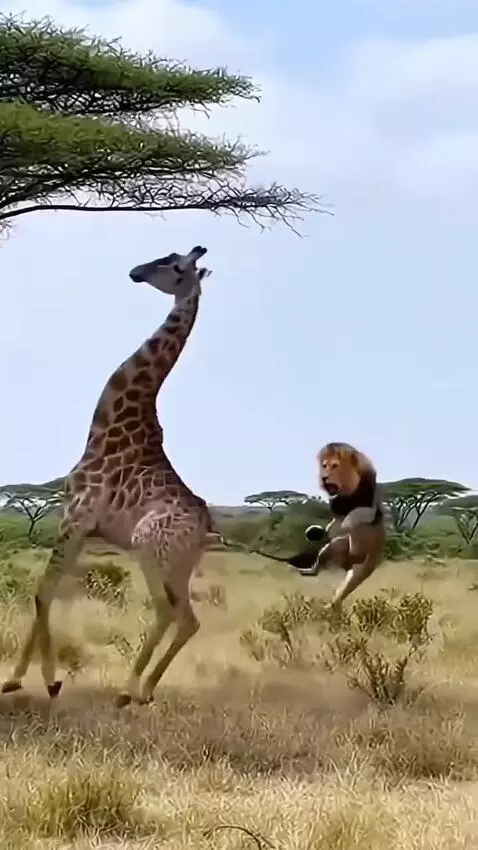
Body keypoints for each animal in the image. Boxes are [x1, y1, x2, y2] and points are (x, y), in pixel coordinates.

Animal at [2, 245, 215, 708]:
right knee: (189, 618)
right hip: (179, 565)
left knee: (166, 609)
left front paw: (43, 680)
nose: (136, 271)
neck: (109, 423)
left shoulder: (75, 516)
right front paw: (18, 679)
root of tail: (206, 528)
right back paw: (146, 690)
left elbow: (41, 591)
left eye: (175, 266)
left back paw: (126, 690)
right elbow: (47, 590)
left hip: (148, 547)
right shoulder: (83, 528)